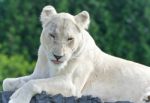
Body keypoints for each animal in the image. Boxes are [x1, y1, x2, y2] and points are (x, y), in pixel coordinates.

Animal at [2, 5, 150, 103]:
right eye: (52, 35)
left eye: (69, 38)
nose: (58, 56)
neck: (53, 66)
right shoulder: (39, 74)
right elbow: (7, 82)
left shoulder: (71, 85)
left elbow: (33, 83)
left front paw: (17, 99)